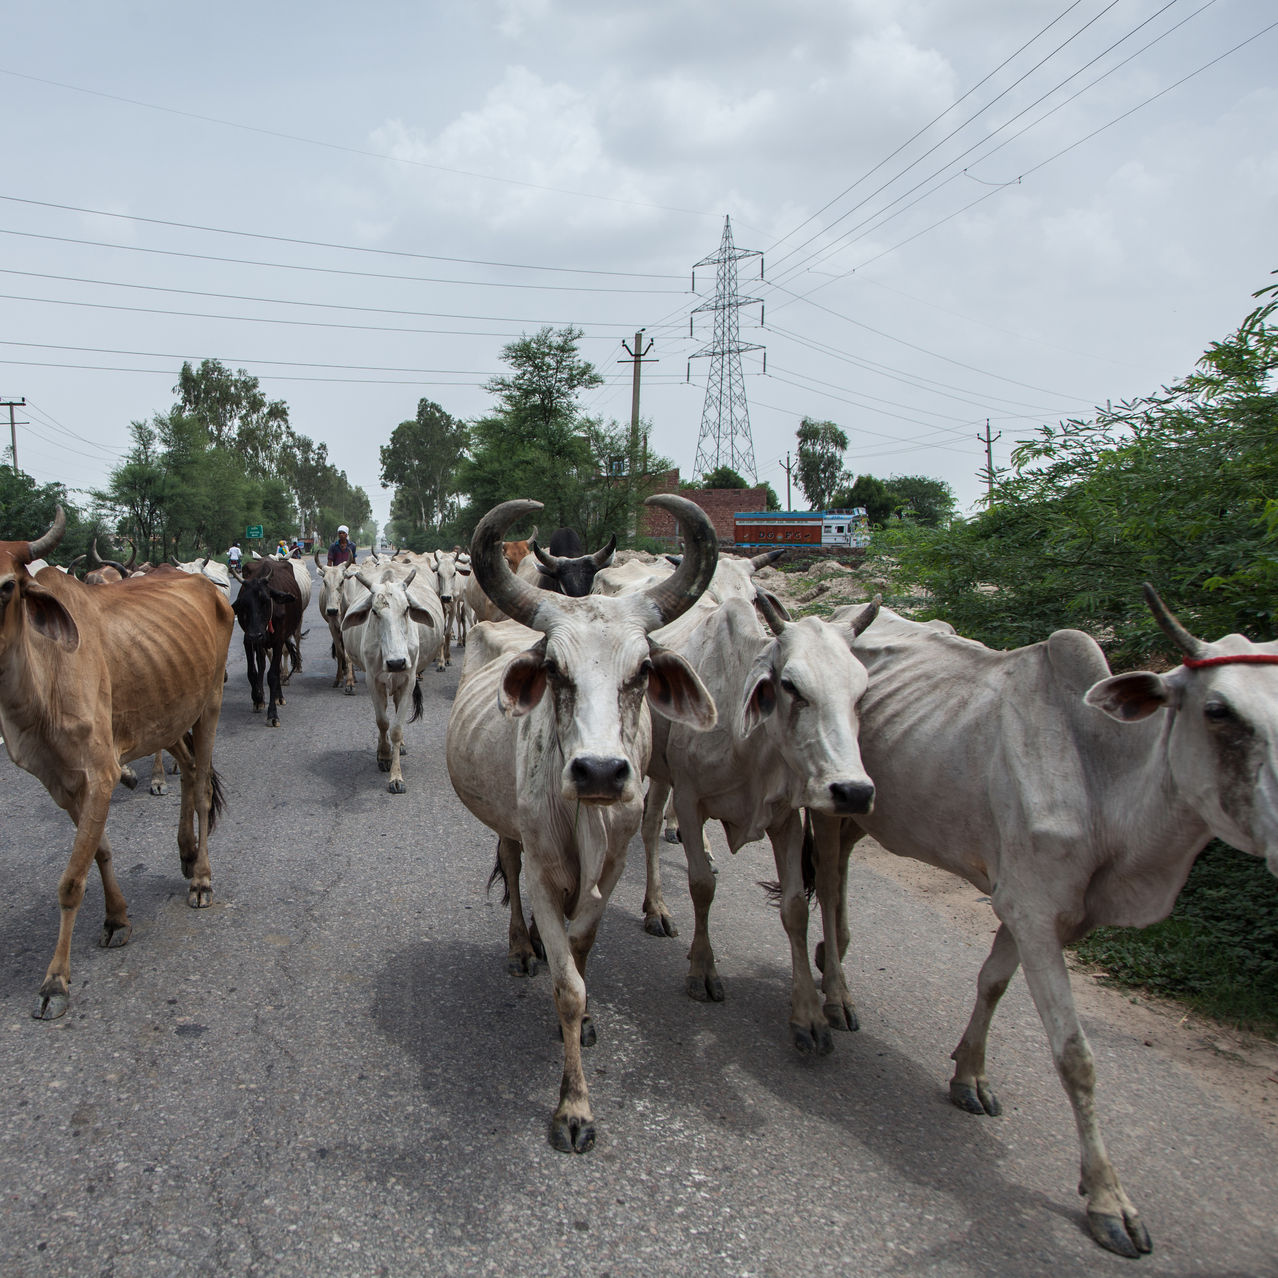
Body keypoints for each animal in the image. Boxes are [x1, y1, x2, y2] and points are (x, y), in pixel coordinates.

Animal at [0, 506, 235, 1017]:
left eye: (6, 585)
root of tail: (206, 585)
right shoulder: (61, 781)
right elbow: (97, 851)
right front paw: (116, 918)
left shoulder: (99, 772)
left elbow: (71, 881)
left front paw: (55, 981)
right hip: (168, 715)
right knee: (190, 770)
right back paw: (186, 852)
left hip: (209, 702)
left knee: (202, 790)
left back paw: (201, 879)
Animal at [231, 562, 302, 731]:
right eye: (244, 604)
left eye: (265, 600)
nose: (256, 634)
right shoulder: (248, 640)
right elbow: (253, 671)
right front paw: (257, 698)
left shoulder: (278, 641)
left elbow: (273, 675)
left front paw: (273, 715)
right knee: (262, 664)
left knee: (274, 668)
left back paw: (278, 696)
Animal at [447, 493, 720, 1155]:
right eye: (555, 670)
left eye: (642, 670)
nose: (599, 771)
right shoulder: (547, 875)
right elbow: (567, 985)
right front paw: (574, 1109)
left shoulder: (612, 870)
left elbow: (581, 954)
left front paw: (587, 1021)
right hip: (507, 827)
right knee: (510, 865)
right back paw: (522, 948)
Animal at [639, 587, 879, 1047]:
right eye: (790, 686)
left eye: (860, 692)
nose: (854, 791)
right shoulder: (691, 801)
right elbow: (701, 886)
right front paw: (702, 969)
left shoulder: (786, 818)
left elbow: (796, 909)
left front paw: (809, 1016)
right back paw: (658, 908)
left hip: (662, 771)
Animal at [807, 587, 1278, 1257]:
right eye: (1218, 710)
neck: (1102, 771)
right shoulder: (1032, 908)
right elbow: (1075, 1056)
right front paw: (1109, 1199)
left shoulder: (1038, 911)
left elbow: (993, 983)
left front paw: (969, 1073)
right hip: (829, 804)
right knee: (825, 873)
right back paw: (836, 989)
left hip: (869, 807)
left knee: (843, 867)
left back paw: (834, 954)